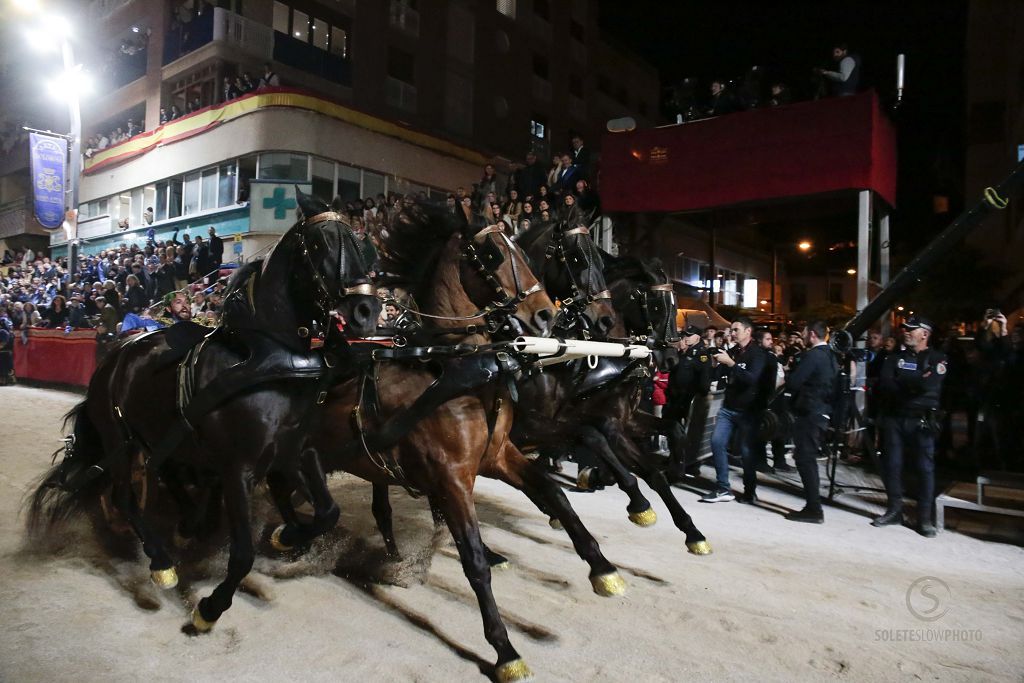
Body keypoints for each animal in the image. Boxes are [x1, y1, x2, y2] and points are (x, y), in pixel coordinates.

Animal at [28, 189, 380, 634]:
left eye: (361, 242)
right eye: (319, 245)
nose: (366, 311)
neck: (269, 358)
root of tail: (118, 352)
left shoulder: (296, 450)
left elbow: (328, 512)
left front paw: (286, 535)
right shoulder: (238, 468)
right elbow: (243, 552)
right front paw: (210, 608)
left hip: (162, 437)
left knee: (165, 473)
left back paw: (186, 527)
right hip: (120, 442)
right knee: (125, 497)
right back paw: (161, 562)